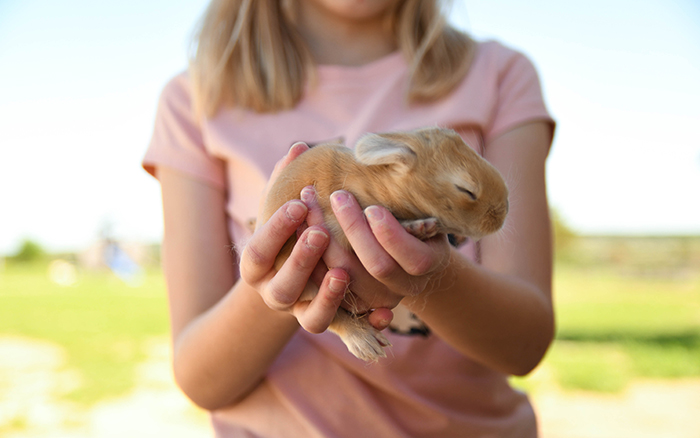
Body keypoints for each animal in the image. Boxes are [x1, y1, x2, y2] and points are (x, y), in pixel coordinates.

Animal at [258, 126, 508, 362]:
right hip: (309, 288)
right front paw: (418, 227)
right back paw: (365, 342)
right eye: (466, 190)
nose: (503, 213)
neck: (380, 183)